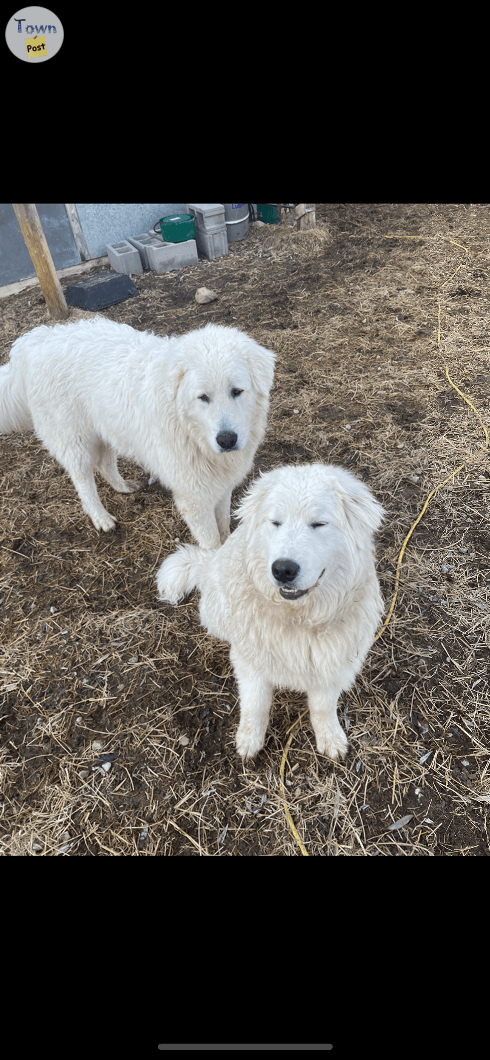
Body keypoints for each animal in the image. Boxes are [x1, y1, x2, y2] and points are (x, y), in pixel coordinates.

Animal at [0, 315, 275, 546]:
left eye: (237, 391)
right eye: (203, 397)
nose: (227, 440)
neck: (188, 427)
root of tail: (38, 340)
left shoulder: (221, 486)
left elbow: (224, 524)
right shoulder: (194, 498)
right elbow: (212, 543)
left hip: (107, 429)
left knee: (104, 464)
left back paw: (123, 487)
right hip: (74, 439)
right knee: (83, 481)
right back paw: (101, 517)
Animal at [155, 464, 381, 763]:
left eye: (319, 524)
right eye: (275, 523)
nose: (283, 569)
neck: (299, 619)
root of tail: (210, 561)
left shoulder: (333, 665)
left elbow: (323, 707)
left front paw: (330, 737)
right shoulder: (250, 663)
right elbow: (256, 705)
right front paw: (249, 740)